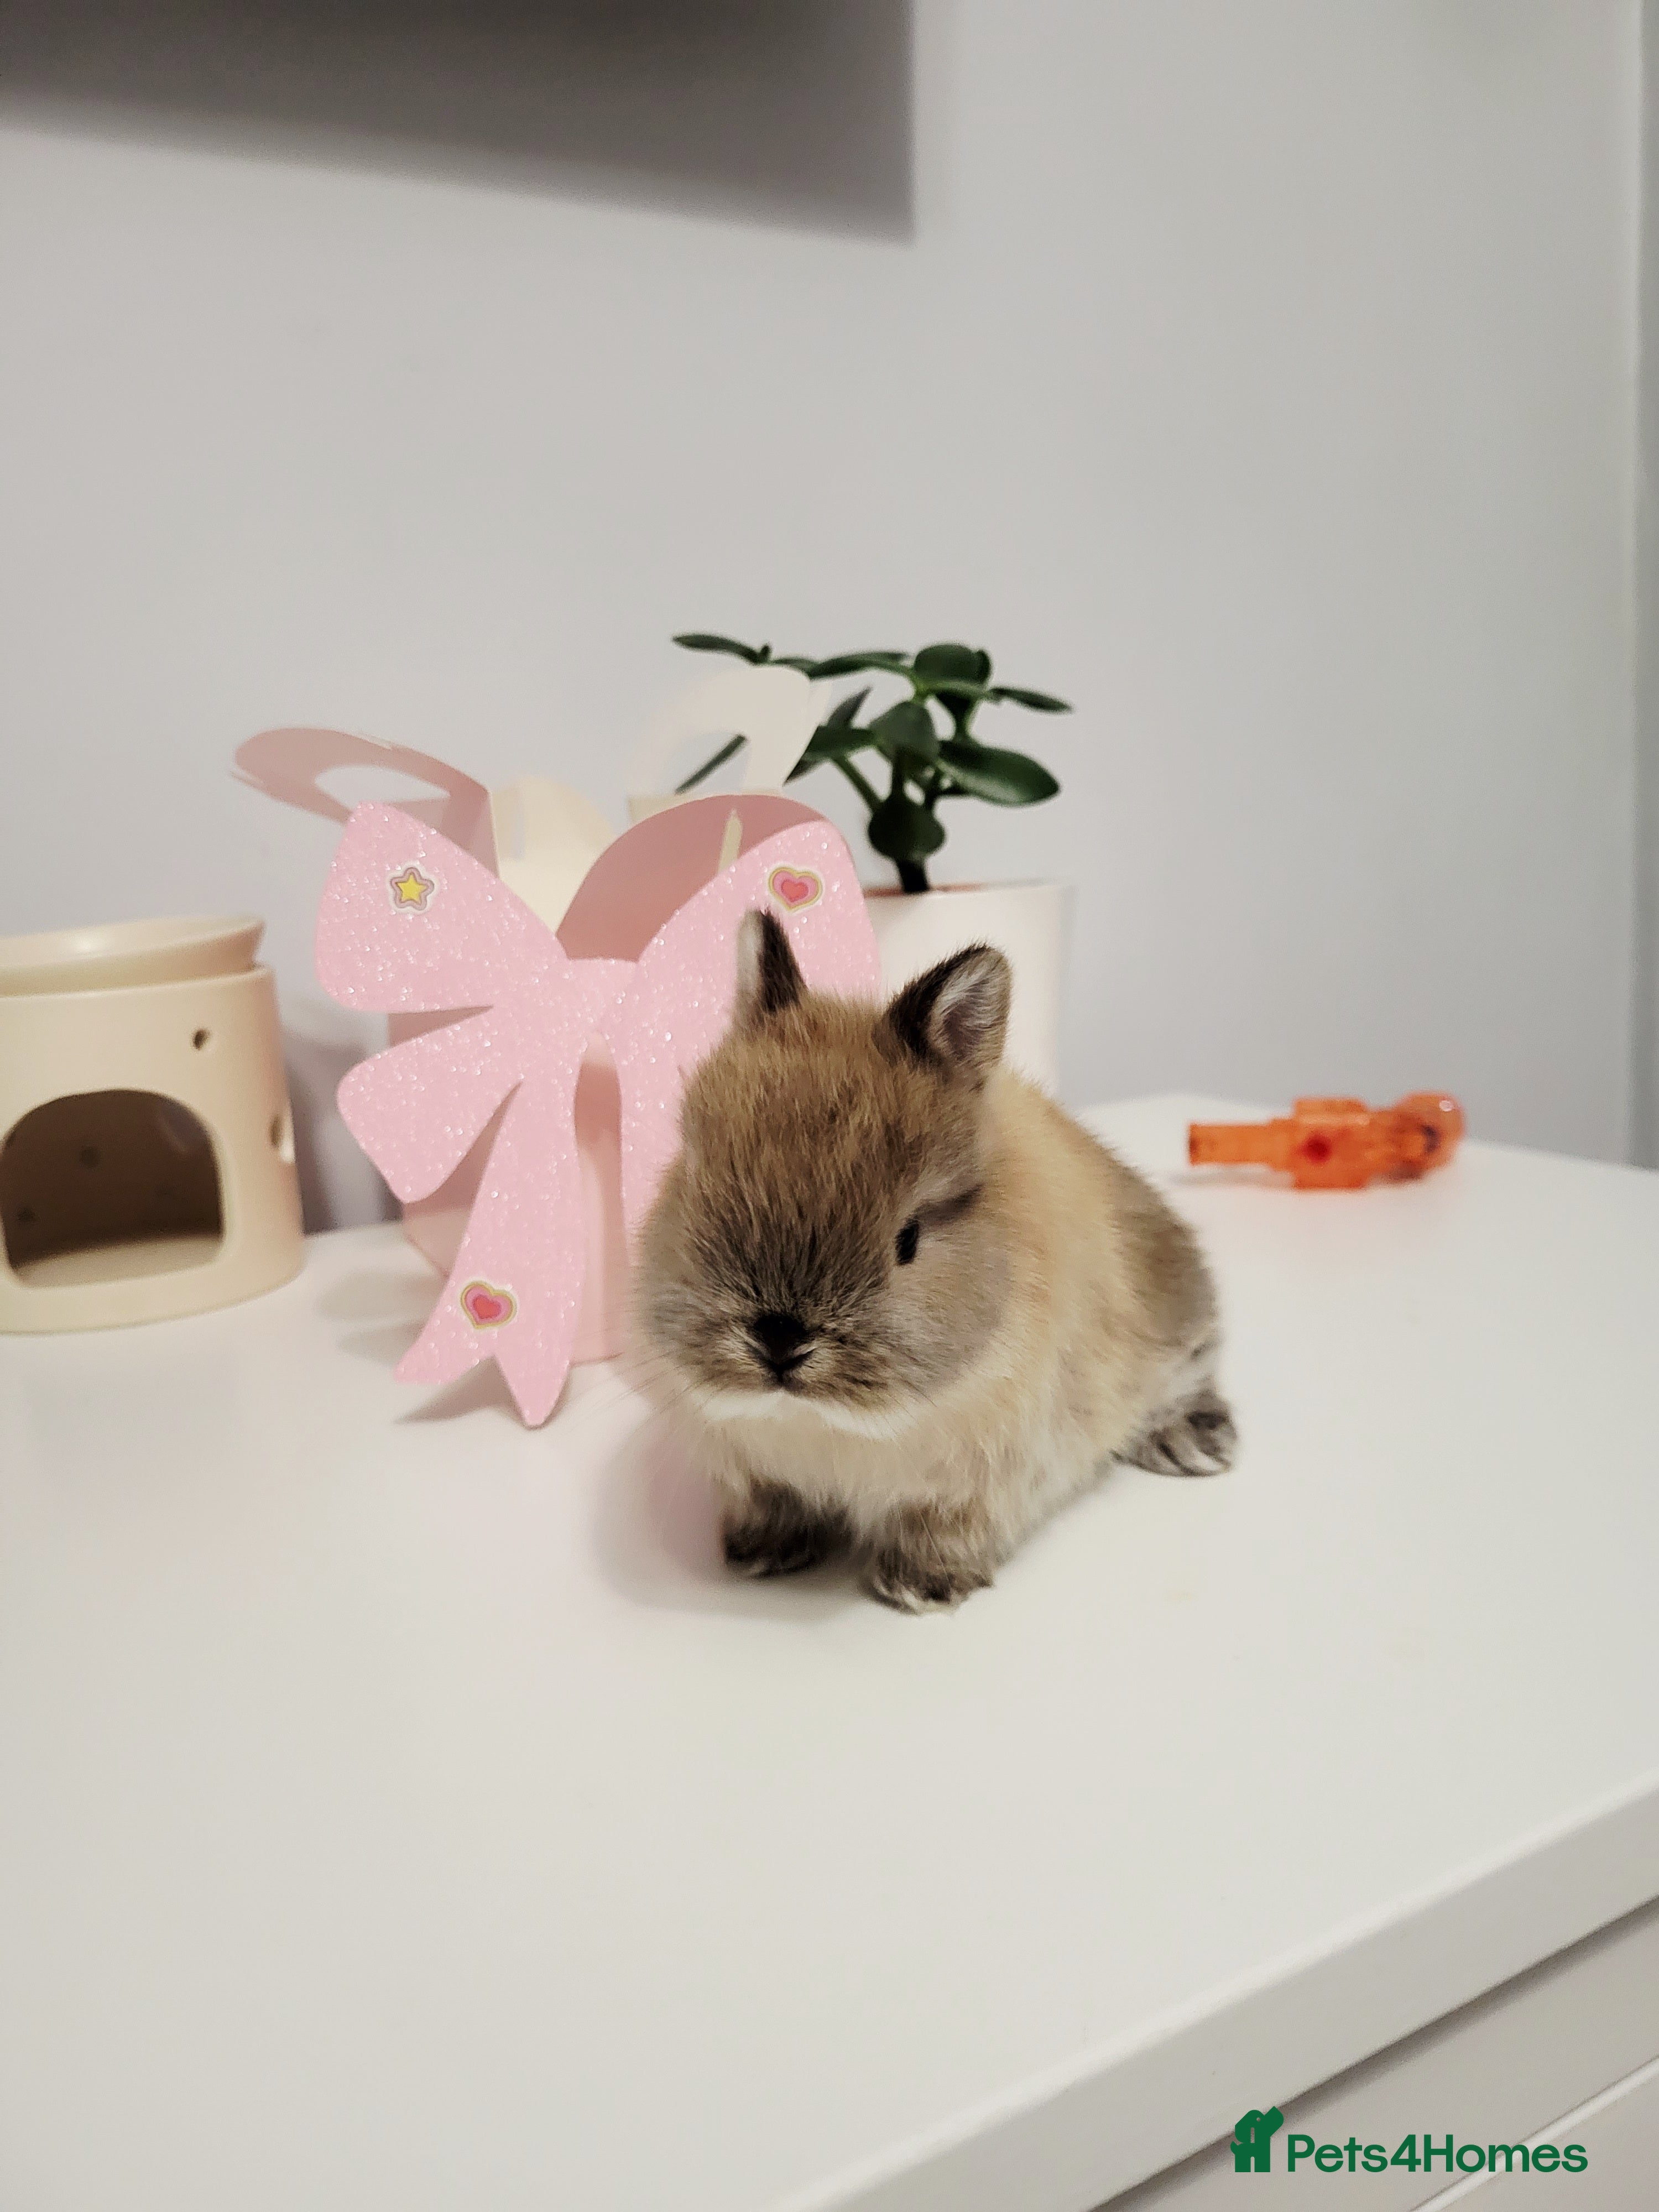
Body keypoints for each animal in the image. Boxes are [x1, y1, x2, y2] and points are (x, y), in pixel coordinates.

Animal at [629, 908, 1235, 1612]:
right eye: (696, 1184)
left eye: (909, 1238)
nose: (779, 1340)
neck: (823, 1425)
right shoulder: (751, 1471)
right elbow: (773, 1505)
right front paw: (762, 1553)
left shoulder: (978, 1483)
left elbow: (941, 1530)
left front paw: (919, 1586)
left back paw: (1196, 1445)